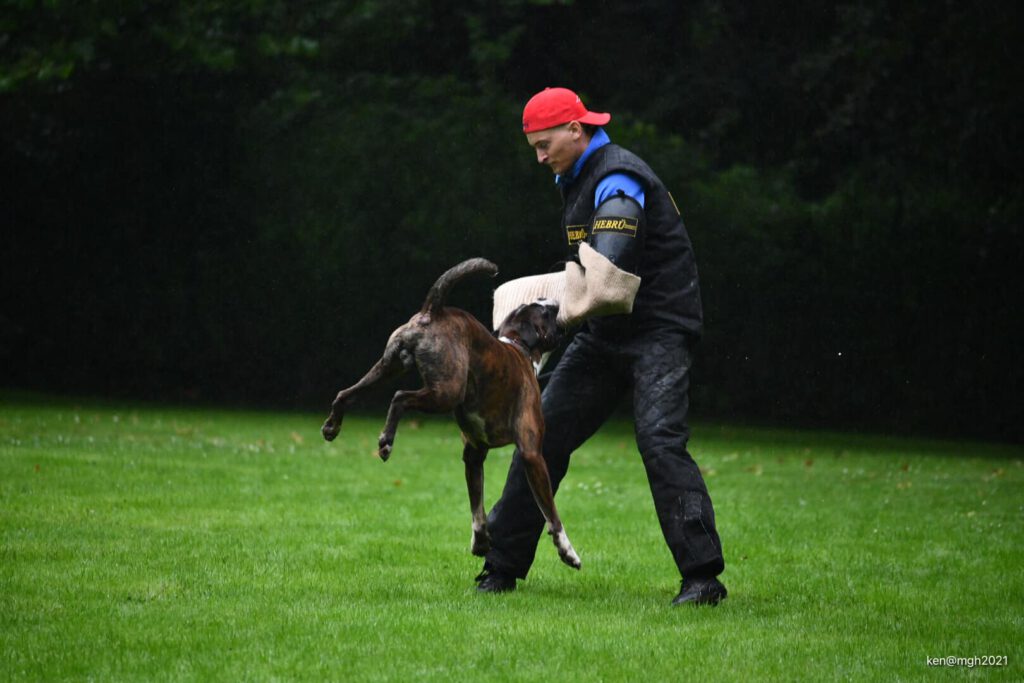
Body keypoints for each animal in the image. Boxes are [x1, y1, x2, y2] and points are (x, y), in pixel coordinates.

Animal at [319, 259, 581, 569]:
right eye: (545, 312)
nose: (555, 301)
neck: (518, 347)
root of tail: (434, 310)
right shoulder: (532, 455)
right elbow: (551, 514)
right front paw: (567, 551)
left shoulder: (474, 455)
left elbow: (477, 507)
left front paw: (480, 541)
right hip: (446, 392)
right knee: (400, 398)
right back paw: (386, 441)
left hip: (385, 369)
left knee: (345, 394)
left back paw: (333, 426)